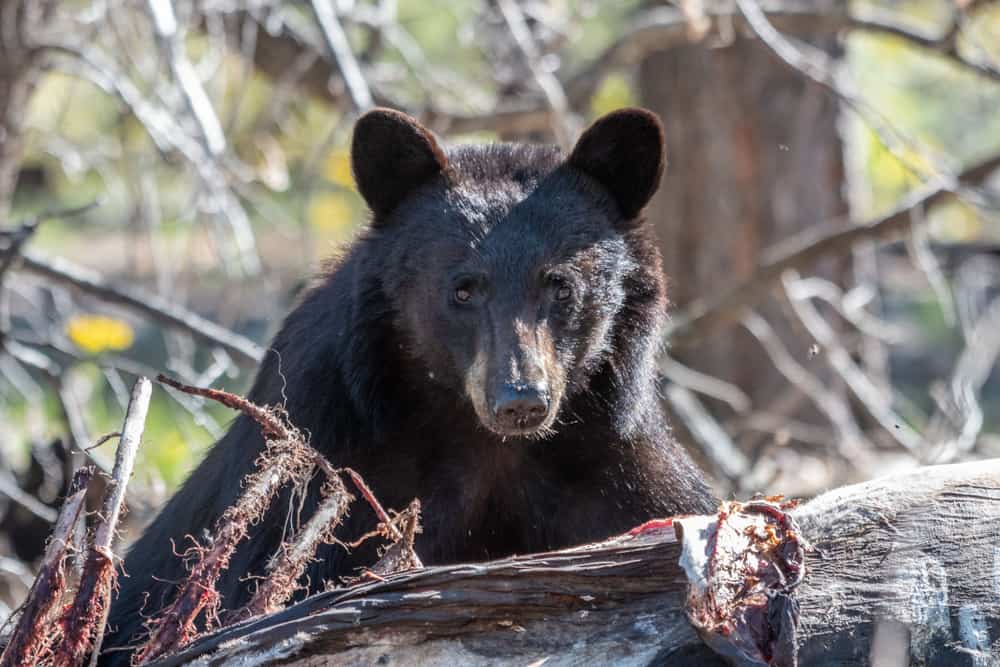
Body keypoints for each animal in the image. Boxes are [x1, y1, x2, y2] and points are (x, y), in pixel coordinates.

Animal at [101, 108, 716, 664]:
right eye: (463, 289)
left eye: (560, 287)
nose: (520, 400)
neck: (484, 442)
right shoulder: (329, 460)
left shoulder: (612, 464)